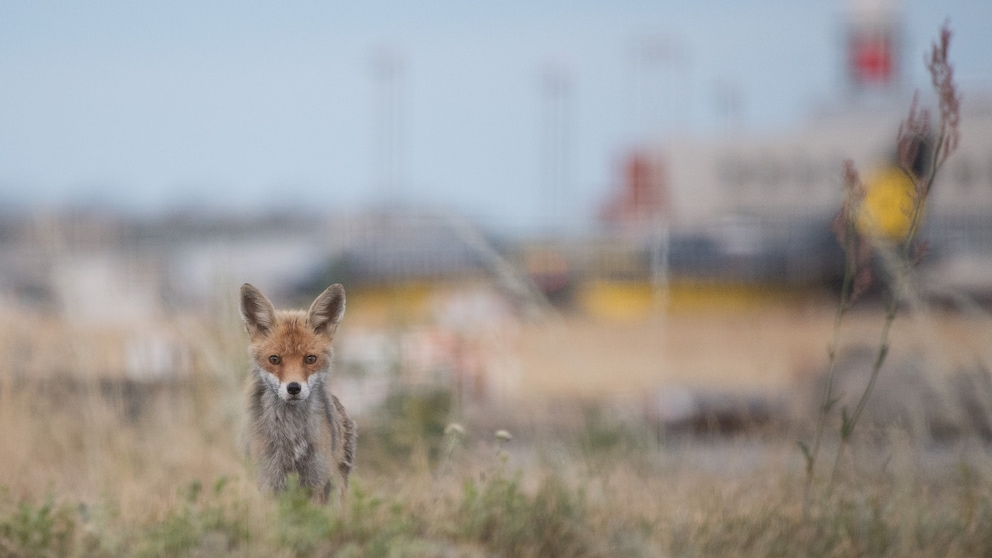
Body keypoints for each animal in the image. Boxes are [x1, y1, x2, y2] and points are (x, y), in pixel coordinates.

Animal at [239, 282, 356, 506]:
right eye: (274, 359)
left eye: (310, 359)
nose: (293, 388)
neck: (291, 436)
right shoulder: (269, 481)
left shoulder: (315, 481)